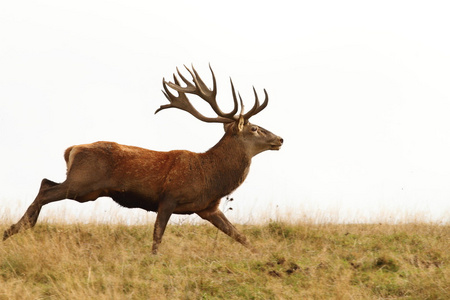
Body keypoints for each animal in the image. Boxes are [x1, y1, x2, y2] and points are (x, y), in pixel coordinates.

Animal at [3, 65, 284, 253]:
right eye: (254, 128)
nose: (280, 139)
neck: (210, 176)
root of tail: (71, 149)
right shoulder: (169, 197)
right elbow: (157, 238)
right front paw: (154, 261)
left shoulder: (208, 208)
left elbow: (241, 236)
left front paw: (264, 256)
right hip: (82, 183)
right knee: (45, 189)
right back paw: (13, 230)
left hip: (85, 189)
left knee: (45, 182)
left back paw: (21, 228)